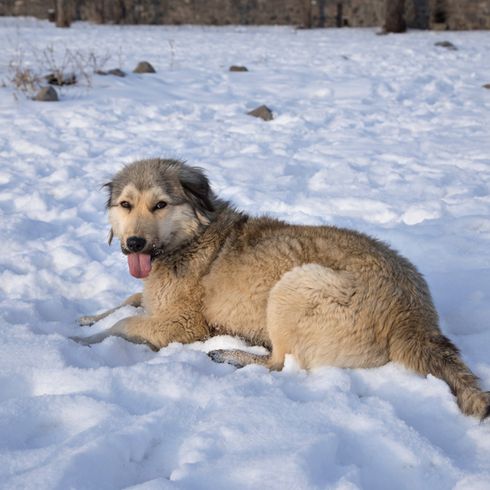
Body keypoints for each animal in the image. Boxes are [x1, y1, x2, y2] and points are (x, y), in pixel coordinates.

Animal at [73, 159, 490, 420]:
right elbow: (127, 301)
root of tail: (415, 318)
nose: (134, 244)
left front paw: (81, 343)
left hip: (295, 285)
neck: (190, 238)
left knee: (278, 363)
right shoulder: (151, 297)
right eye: (125, 205)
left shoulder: (184, 325)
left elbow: (124, 325)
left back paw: (230, 354)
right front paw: (89, 317)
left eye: (160, 204)